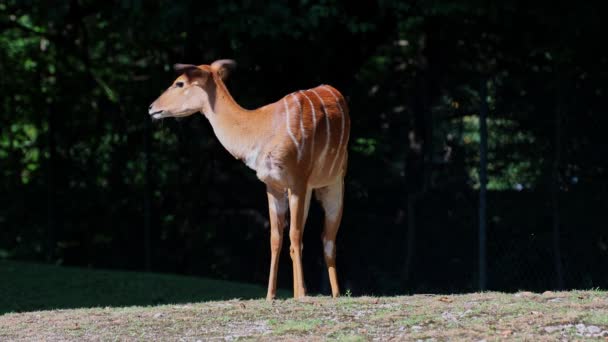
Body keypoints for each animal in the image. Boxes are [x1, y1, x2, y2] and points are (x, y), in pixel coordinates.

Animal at [148, 59, 352, 300]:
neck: (260, 129)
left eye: (179, 83)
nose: (151, 107)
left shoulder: (297, 181)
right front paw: (271, 296)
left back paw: (335, 294)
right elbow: (276, 238)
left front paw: (301, 295)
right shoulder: (273, 185)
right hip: (310, 190)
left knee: (327, 239)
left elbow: (294, 235)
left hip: (334, 183)